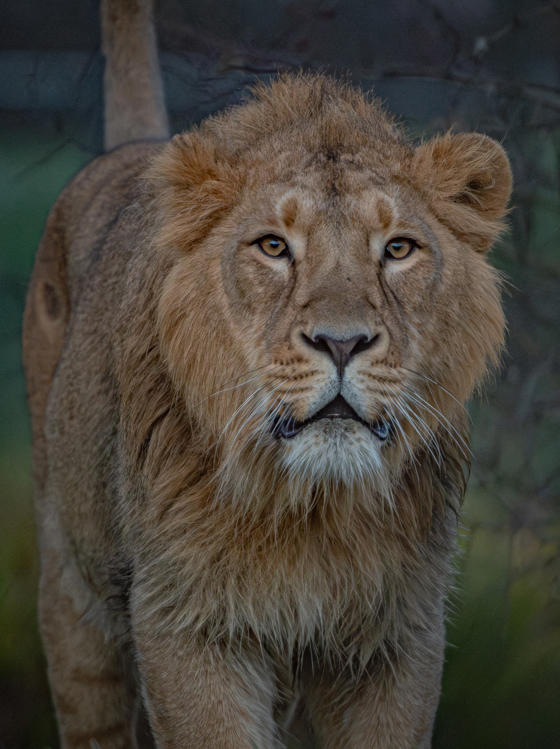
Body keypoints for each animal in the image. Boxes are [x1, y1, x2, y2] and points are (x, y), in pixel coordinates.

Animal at [23, 1, 512, 746]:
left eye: (399, 248)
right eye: (273, 247)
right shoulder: (185, 621)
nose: (342, 342)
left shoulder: (400, 634)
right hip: (73, 598)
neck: (312, 509)